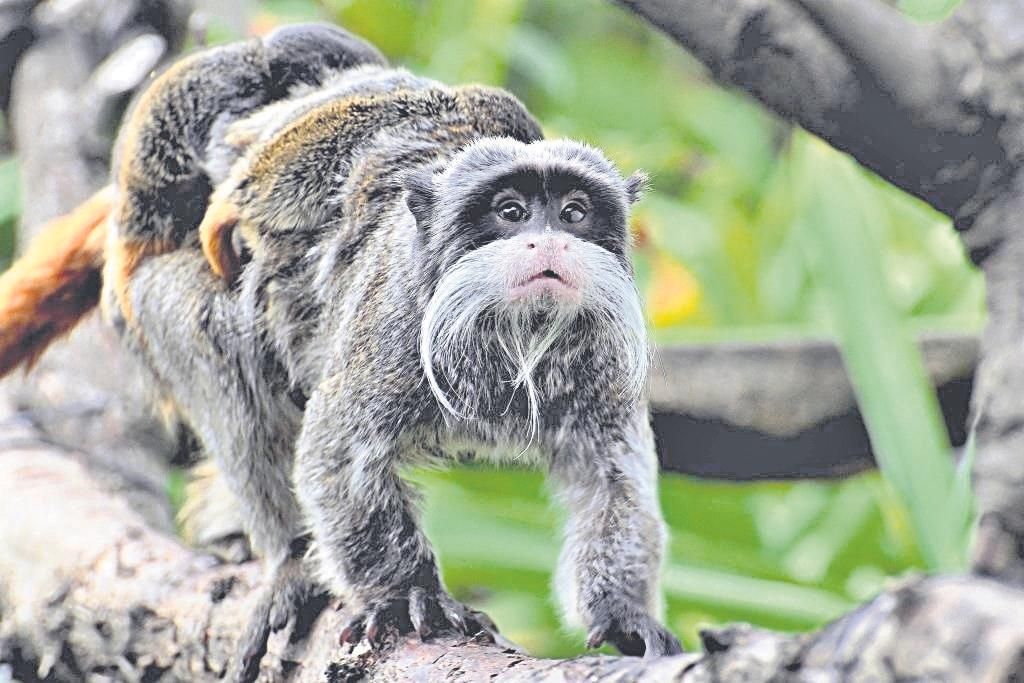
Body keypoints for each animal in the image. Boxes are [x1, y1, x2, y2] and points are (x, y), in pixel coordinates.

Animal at [0, 22, 682, 681]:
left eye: (574, 213)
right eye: (511, 212)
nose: (550, 242)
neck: (509, 339)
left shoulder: (604, 349)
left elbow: (612, 476)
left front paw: (623, 616)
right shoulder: (394, 328)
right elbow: (337, 452)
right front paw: (407, 595)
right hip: (154, 268)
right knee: (221, 354)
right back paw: (288, 560)